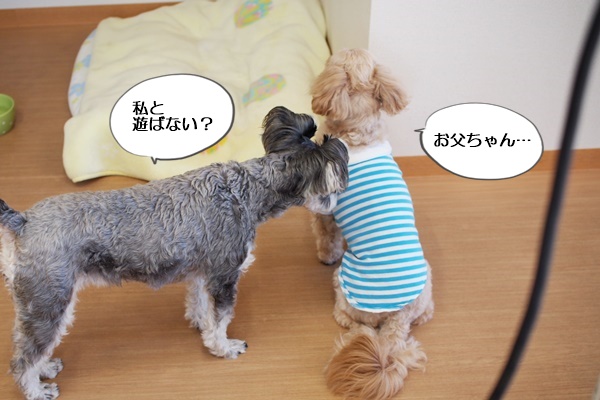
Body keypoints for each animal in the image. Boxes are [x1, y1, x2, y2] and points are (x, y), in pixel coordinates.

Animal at [0, 106, 348, 400]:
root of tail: (23, 221)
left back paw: (46, 367)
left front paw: (200, 324)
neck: (247, 190)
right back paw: (38, 390)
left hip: (37, 306)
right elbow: (222, 319)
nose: (336, 205)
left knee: (29, 347)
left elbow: (201, 306)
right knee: (22, 360)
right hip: (49, 303)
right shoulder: (224, 276)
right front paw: (224, 347)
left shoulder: (202, 274)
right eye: (332, 185)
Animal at [310, 49, 434, 400]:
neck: (358, 136)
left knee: (356, 324)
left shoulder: (325, 209)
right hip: (426, 286)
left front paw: (324, 254)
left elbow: (326, 235)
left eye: (331, 60)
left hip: (344, 287)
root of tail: (395, 319)